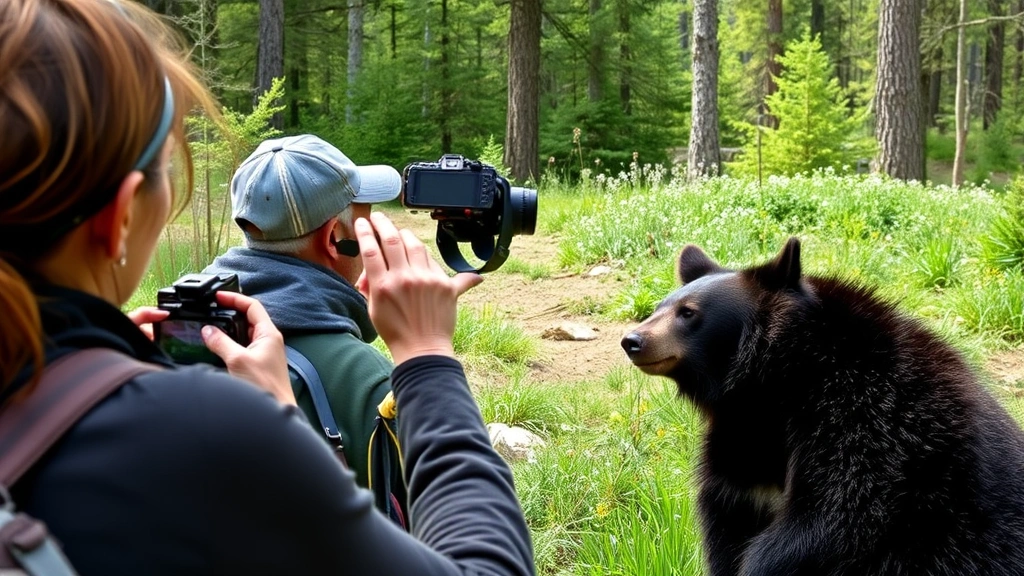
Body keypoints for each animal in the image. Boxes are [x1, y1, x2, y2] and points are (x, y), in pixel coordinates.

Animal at [620, 237, 1024, 576]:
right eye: (658, 307)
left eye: (688, 313)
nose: (632, 341)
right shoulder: (739, 459)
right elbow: (726, 526)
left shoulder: (869, 423)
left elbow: (833, 516)